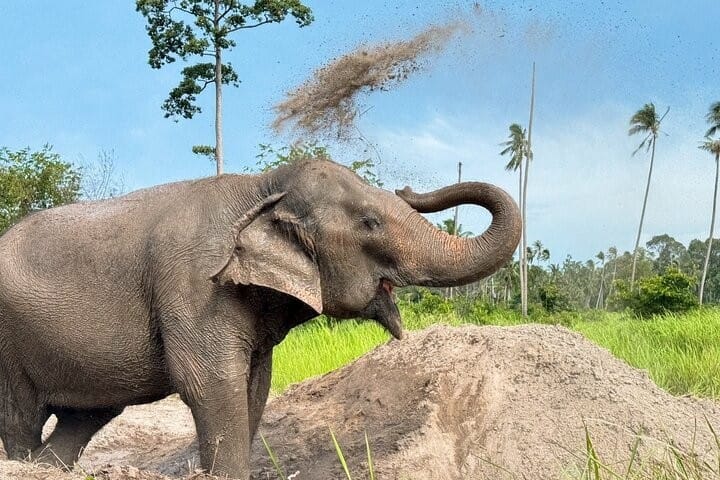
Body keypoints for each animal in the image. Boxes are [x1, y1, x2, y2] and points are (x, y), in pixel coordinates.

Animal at [0, 159, 520, 479]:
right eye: (370, 223)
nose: (407, 185)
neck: (263, 187)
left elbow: (256, 383)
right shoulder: (197, 286)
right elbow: (209, 382)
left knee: (85, 416)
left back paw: (46, 468)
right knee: (21, 418)